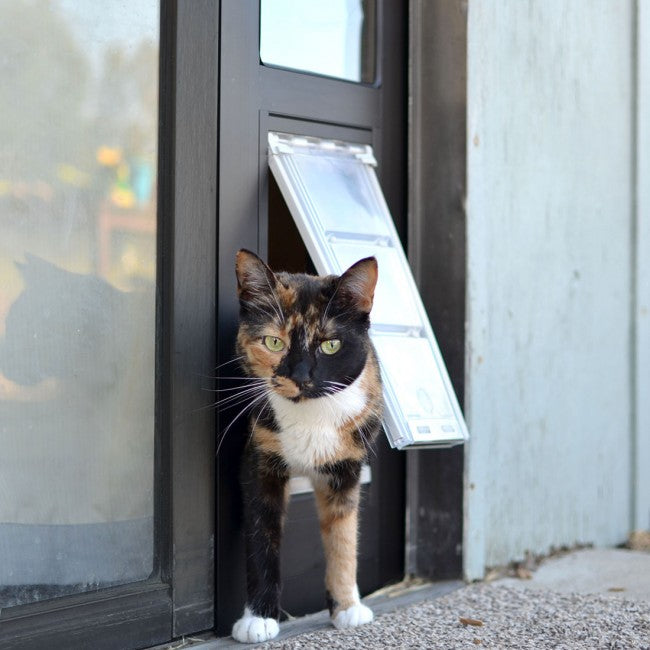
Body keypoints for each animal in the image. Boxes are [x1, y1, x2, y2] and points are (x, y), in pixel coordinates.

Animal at [230, 249, 382, 644]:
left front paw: (348, 607)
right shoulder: (259, 462)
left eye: (330, 344)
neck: (311, 416)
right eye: (273, 342)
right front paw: (258, 618)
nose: (299, 376)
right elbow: (262, 539)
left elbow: (343, 534)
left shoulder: (347, 468)